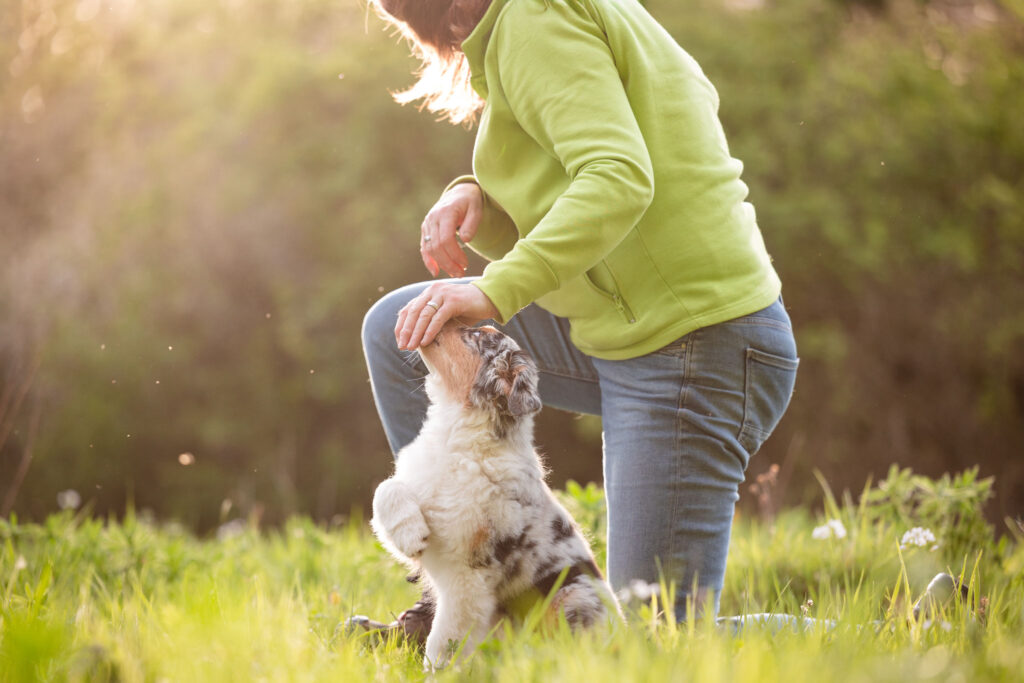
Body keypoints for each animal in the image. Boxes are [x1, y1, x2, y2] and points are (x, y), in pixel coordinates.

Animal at [372, 323, 618, 671]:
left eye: (476, 335)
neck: (458, 434)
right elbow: (385, 489)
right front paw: (411, 535)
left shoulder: (469, 574)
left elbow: (445, 639)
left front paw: (438, 674)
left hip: (571, 599)